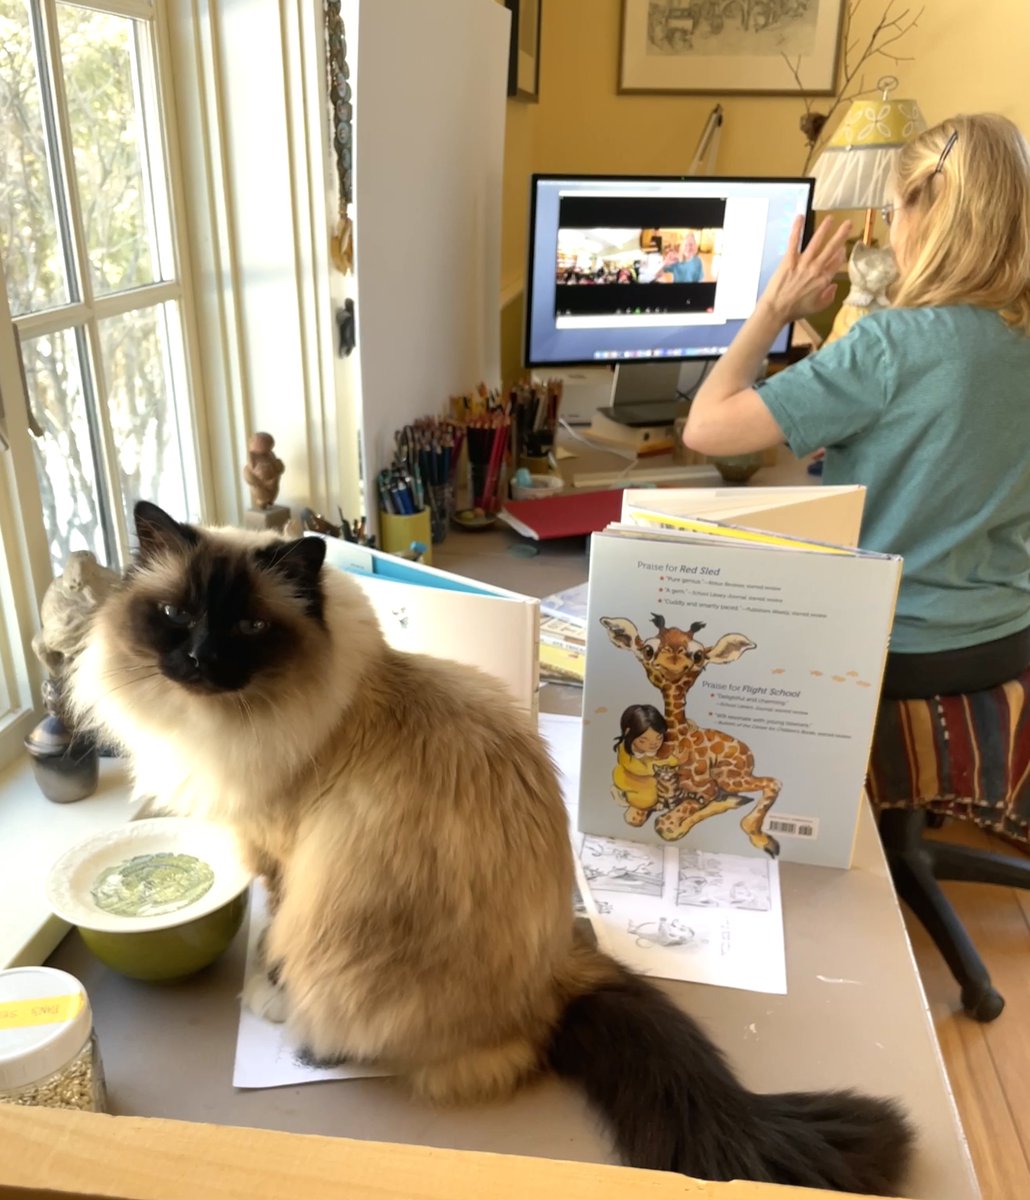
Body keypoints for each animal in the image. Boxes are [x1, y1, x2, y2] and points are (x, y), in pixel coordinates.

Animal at [68, 501, 912, 1195]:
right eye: (173, 614)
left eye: (247, 629)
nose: (199, 662)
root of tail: (556, 974)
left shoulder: (281, 859)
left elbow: (274, 936)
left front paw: (268, 991)